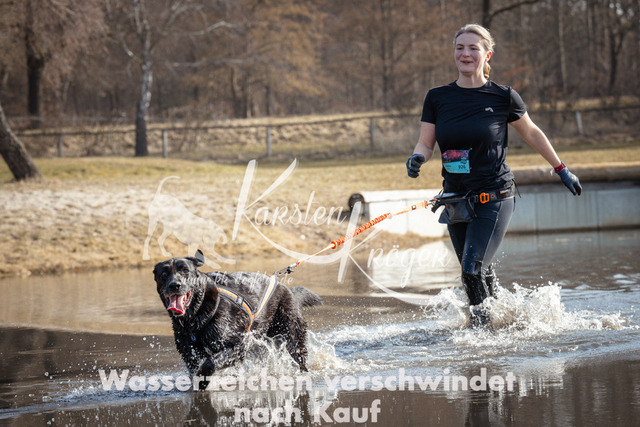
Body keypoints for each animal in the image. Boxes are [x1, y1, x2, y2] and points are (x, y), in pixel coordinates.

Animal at [153, 250, 321, 385]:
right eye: (164, 274)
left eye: (185, 271)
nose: (175, 285)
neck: (196, 317)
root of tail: (286, 288)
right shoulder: (189, 355)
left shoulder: (238, 346)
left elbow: (210, 363)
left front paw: (202, 382)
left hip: (292, 338)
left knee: (299, 357)